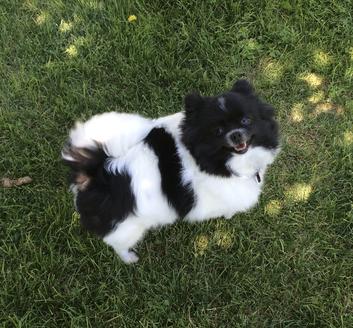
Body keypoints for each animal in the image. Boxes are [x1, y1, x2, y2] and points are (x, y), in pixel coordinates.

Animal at [62, 80, 278, 264]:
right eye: (217, 131)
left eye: (246, 120)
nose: (236, 135)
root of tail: (95, 169)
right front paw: (229, 215)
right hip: (127, 226)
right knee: (118, 244)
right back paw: (129, 258)